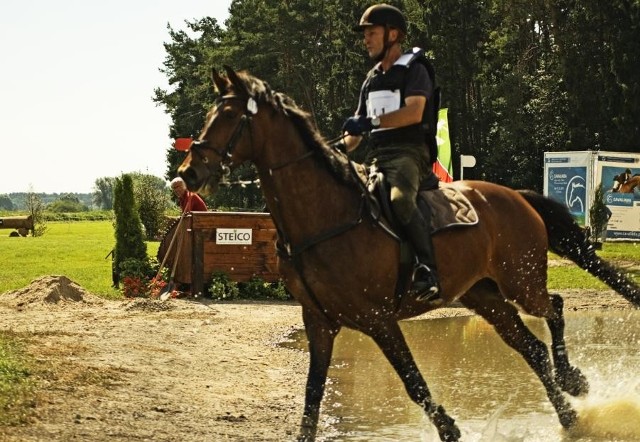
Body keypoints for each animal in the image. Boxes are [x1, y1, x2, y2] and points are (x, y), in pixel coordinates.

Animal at [176, 66, 640, 442]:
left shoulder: (378, 319)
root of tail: (516, 196)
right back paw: (569, 417)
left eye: (229, 117)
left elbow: (413, 381)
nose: (187, 173)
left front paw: (450, 429)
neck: (325, 216)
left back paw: (574, 381)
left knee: (555, 308)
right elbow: (312, 397)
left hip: (519, 280)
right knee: (531, 348)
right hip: (482, 294)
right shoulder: (319, 323)